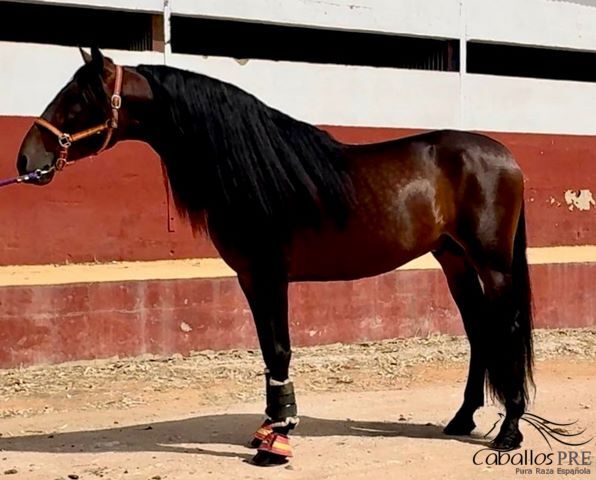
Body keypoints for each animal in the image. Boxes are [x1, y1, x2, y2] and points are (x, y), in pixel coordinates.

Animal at [16, 47, 532, 466]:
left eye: (77, 99)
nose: (26, 161)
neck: (254, 173)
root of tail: (506, 155)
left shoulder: (270, 275)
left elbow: (280, 349)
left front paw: (277, 442)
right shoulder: (251, 279)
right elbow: (268, 352)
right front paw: (268, 428)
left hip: (492, 265)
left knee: (504, 329)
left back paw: (509, 431)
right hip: (454, 261)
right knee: (479, 333)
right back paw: (462, 418)